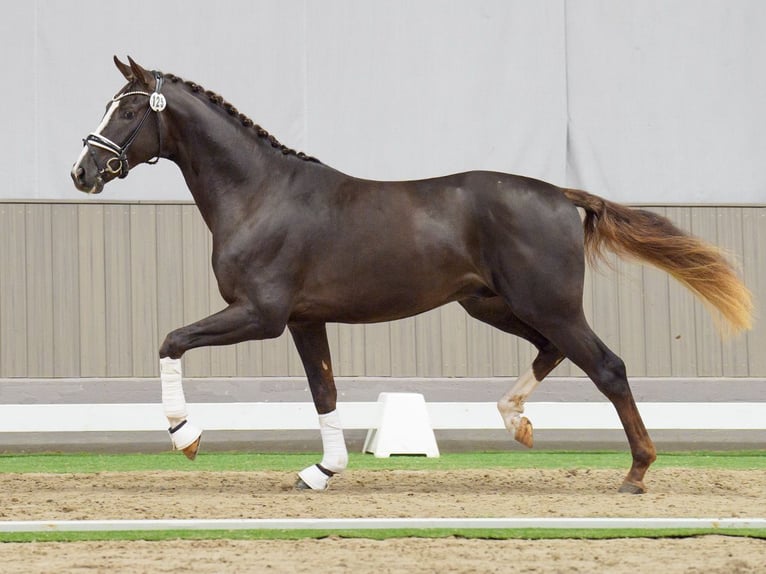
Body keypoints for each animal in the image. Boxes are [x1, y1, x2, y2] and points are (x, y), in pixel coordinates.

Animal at [72, 56, 756, 492]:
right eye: (108, 106)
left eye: (128, 111)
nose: (82, 172)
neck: (260, 194)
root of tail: (562, 195)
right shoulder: (304, 320)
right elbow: (324, 393)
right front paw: (322, 472)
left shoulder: (260, 315)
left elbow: (171, 340)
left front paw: (184, 435)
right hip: (495, 304)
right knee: (554, 351)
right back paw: (517, 421)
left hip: (546, 304)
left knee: (607, 366)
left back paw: (636, 472)